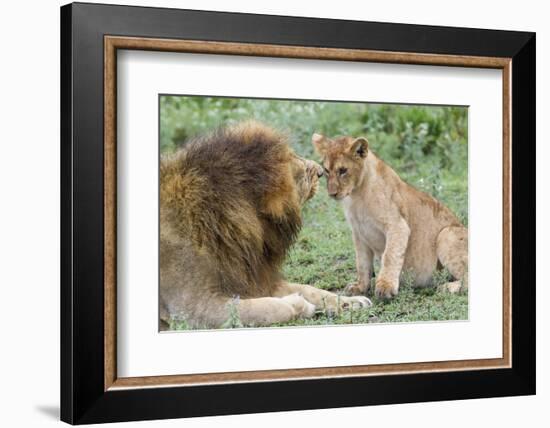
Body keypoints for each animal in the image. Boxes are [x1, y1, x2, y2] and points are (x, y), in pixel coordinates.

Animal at [162, 122, 374, 330]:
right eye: (294, 162)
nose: (321, 172)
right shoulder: (193, 307)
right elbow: (268, 307)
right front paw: (300, 305)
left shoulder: (254, 279)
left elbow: (310, 289)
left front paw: (351, 301)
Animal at [314, 132, 470, 300]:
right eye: (326, 170)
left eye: (343, 170)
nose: (332, 194)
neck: (356, 196)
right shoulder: (358, 233)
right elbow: (361, 263)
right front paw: (360, 288)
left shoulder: (397, 225)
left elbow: (390, 256)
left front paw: (385, 288)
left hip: (446, 233)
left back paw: (446, 287)